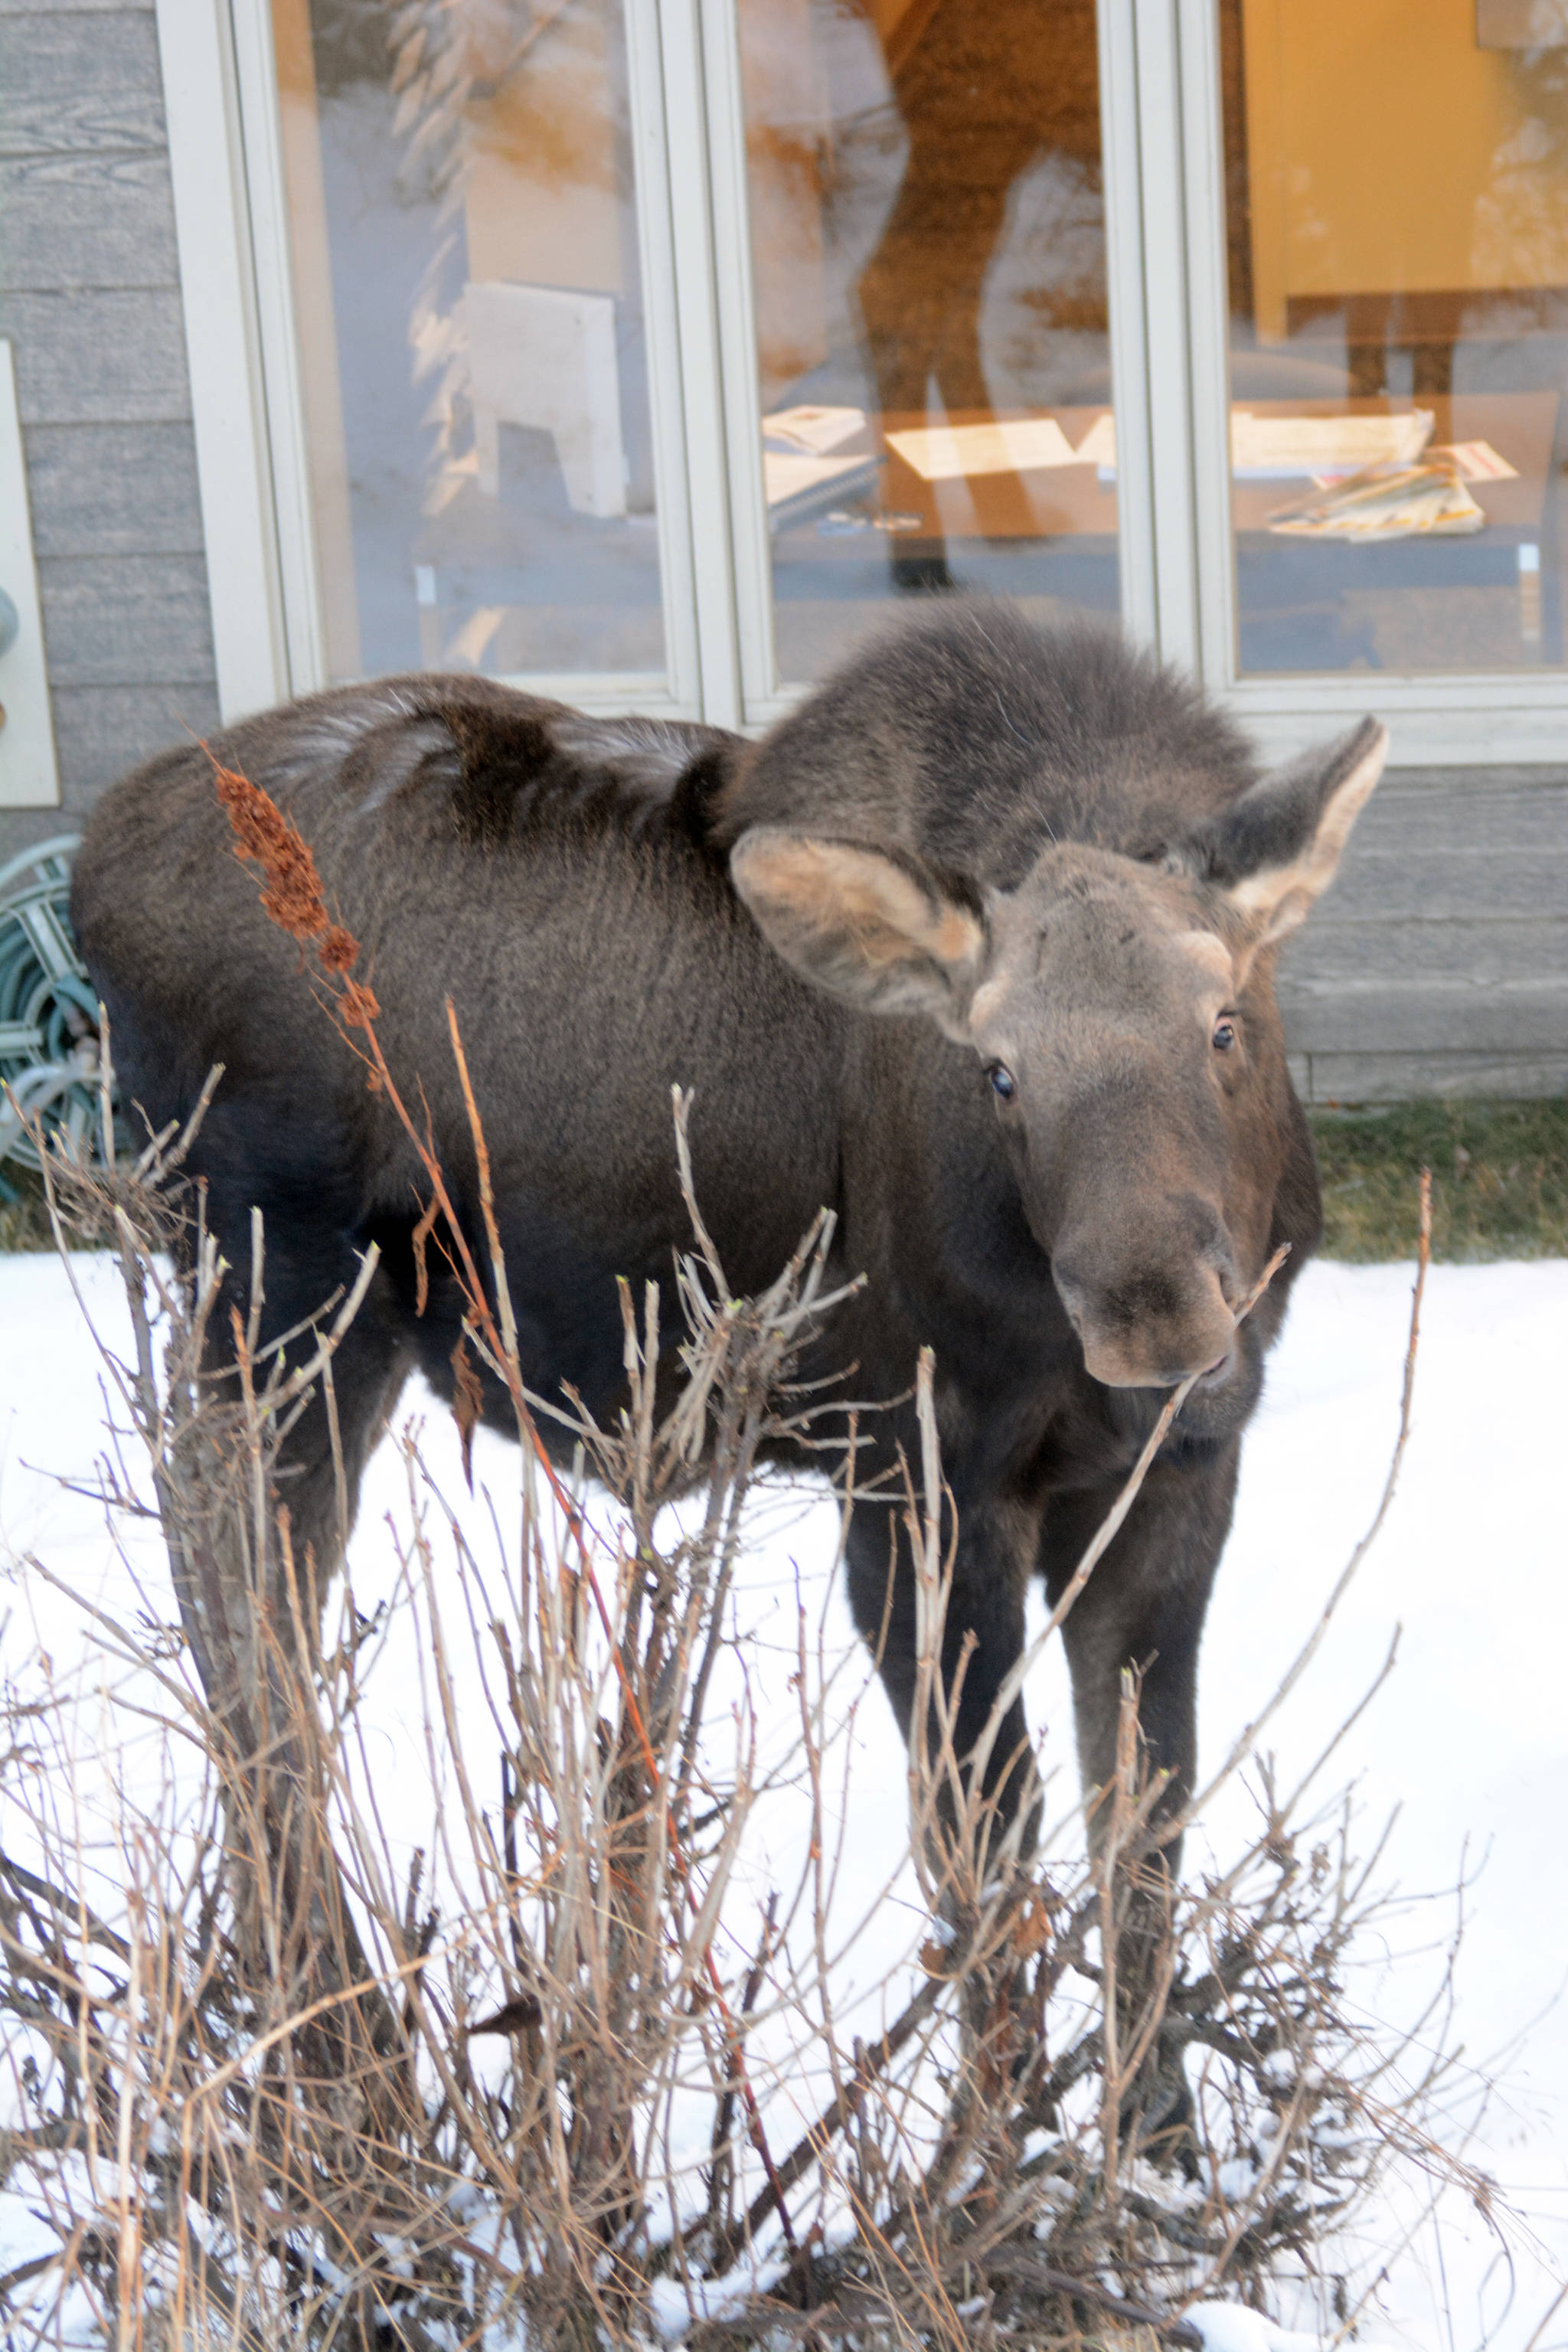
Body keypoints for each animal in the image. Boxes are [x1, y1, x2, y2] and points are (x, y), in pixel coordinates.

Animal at [76, 611, 1382, 1890]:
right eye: (1000, 1070)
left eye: (1224, 1025)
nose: (1156, 1317)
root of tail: (90, 868)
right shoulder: (914, 1475)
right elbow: (986, 1865)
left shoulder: (1179, 1475)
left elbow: (1143, 1852)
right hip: (278, 1297)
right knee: (245, 1633)